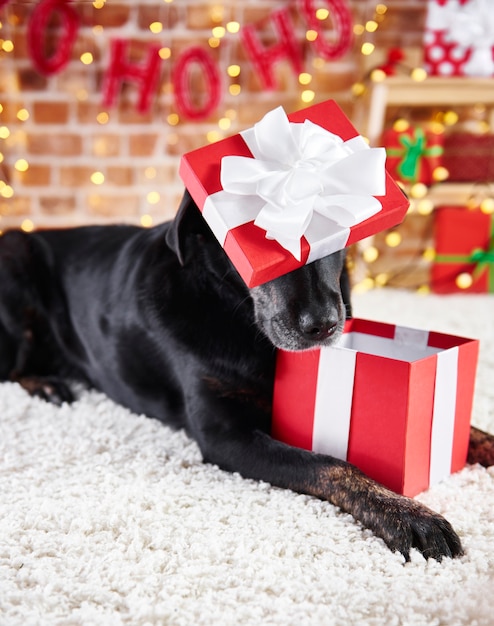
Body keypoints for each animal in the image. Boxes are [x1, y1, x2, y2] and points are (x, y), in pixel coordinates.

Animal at [0, 189, 492, 556]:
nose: (324, 325)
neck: (234, 308)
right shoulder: (226, 437)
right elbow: (330, 463)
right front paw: (408, 515)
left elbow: (468, 429)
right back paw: (47, 383)